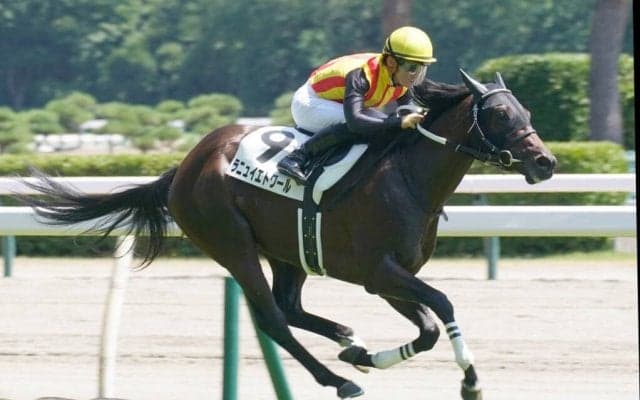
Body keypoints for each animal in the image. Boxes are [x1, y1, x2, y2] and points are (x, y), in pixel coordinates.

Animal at [21, 70, 556, 399]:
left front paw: (367, 352)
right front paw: (471, 382)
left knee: (289, 307)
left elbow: (425, 331)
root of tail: (185, 166)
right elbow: (442, 306)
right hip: (232, 244)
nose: (545, 162)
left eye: (527, 111)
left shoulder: (386, 278)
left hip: (287, 251)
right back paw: (339, 379)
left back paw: (348, 341)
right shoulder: (379, 271)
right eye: (501, 115)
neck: (408, 178)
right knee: (273, 319)